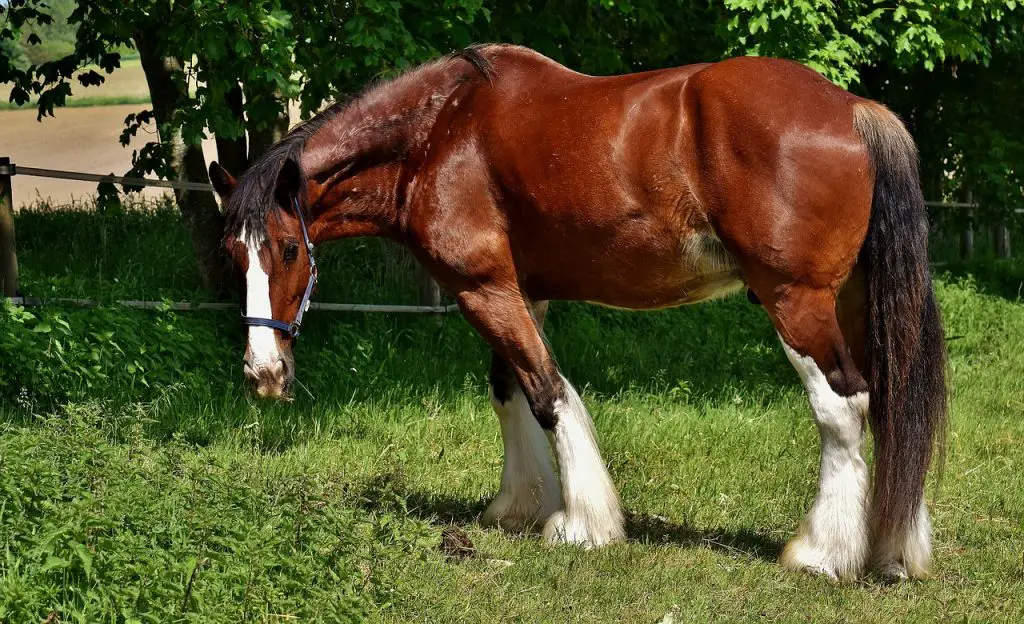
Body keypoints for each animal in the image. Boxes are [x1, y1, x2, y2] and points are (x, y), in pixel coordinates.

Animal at [207, 42, 942, 577]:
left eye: (287, 250)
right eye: (233, 254)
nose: (263, 374)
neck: (439, 133)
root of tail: (852, 109)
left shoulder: (484, 287)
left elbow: (546, 392)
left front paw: (582, 524)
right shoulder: (515, 289)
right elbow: (507, 388)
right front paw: (518, 506)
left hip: (796, 302)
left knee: (843, 407)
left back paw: (822, 552)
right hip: (851, 302)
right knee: (888, 402)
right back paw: (893, 547)